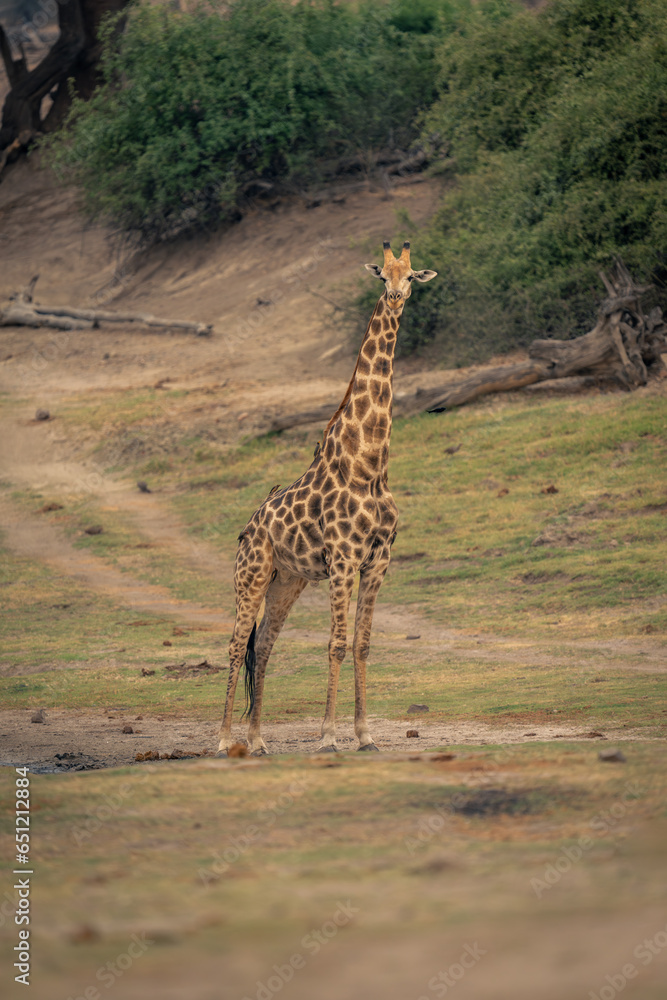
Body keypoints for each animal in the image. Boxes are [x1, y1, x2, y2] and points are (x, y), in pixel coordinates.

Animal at [217, 241, 437, 755]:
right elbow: (336, 643)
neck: (368, 465)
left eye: (412, 276)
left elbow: (362, 644)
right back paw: (223, 740)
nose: (396, 297)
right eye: (382, 276)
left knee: (265, 646)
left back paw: (258, 741)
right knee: (236, 645)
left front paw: (365, 735)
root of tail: (249, 526)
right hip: (251, 574)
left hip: (287, 581)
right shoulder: (343, 557)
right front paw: (329, 737)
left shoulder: (378, 560)